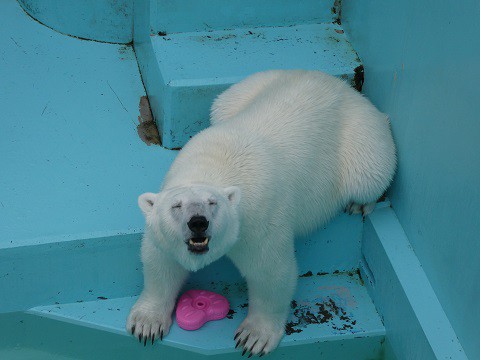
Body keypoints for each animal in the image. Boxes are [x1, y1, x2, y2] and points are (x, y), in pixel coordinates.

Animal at [125, 69, 396, 354]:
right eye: (176, 206)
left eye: (213, 203)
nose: (197, 222)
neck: (215, 167)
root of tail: (343, 86)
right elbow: (161, 260)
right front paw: (146, 324)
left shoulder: (258, 221)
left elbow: (271, 273)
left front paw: (254, 336)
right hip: (247, 89)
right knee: (221, 104)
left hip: (361, 140)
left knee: (371, 174)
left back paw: (360, 203)